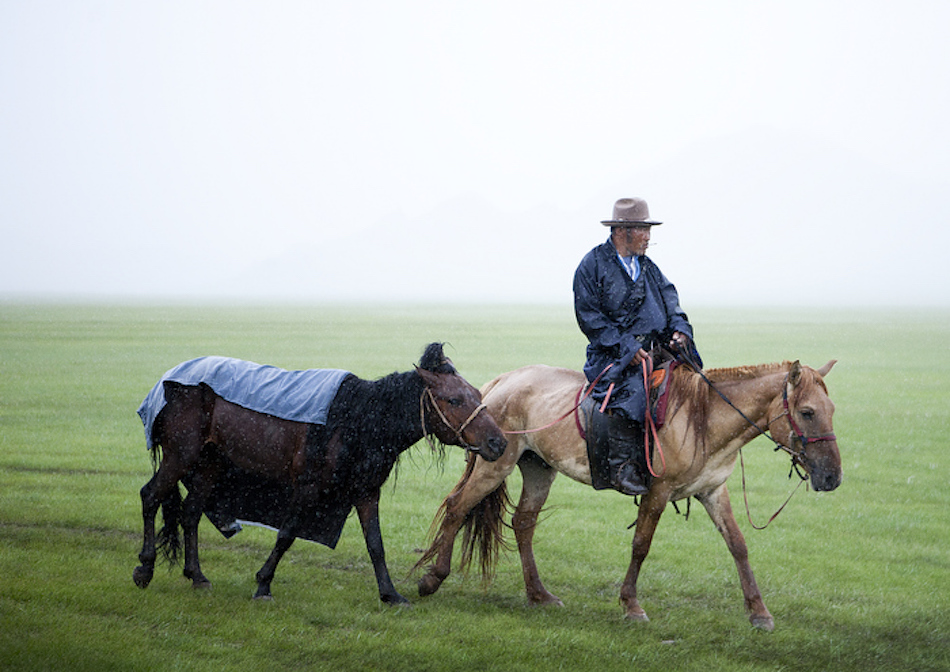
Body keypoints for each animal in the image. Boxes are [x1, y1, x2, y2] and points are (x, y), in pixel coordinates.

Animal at [135, 344, 510, 608]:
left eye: (478, 395)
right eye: (454, 399)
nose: (499, 442)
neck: (357, 420)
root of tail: (168, 382)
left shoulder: (366, 492)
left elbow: (376, 545)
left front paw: (390, 595)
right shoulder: (307, 487)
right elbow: (286, 534)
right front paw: (263, 584)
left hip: (210, 463)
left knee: (190, 512)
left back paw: (197, 576)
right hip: (181, 455)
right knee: (151, 496)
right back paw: (145, 569)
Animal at [416, 360, 840, 628]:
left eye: (831, 410)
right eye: (806, 412)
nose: (832, 477)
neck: (703, 419)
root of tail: (501, 382)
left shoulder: (713, 491)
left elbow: (738, 545)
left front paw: (759, 612)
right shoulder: (657, 492)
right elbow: (641, 545)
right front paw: (631, 605)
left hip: (538, 468)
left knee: (523, 523)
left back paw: (539, 594)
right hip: (495, 464)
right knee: (457, 508)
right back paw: (433, 578)